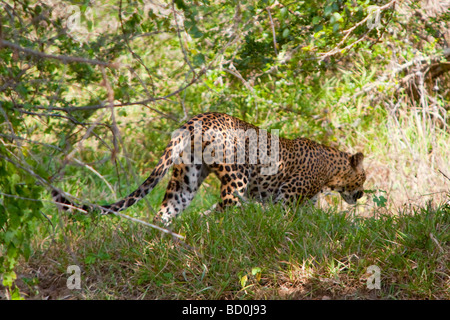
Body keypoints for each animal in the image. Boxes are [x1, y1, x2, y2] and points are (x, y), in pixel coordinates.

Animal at [54, 112, 368, 225]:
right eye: (363, 177)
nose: (363, 194)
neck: (332, 170)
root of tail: (198, 118)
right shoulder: (287, 196)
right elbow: (284, 216)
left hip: (186, 178)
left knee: (166, 210)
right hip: (236, 176)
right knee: (224, 208)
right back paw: (220, 228)